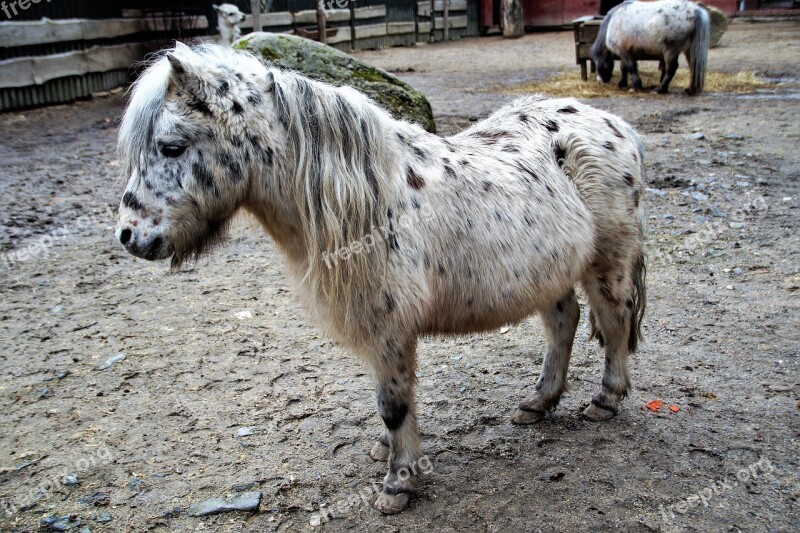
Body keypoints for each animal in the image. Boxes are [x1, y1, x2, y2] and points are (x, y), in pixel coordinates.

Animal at [115, 43, 648, 512]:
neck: (367, 200)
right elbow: (394, 401)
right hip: (551, 271)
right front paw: (390, 453)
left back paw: (605, 399)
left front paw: (398, 485)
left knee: (614, 321)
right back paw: (539, 403)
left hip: (607, 261)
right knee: (564, 321)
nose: (128, 235)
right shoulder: (377, 330)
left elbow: (393, 404)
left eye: (171, 146)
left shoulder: (389, 327)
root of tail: (615, 125)